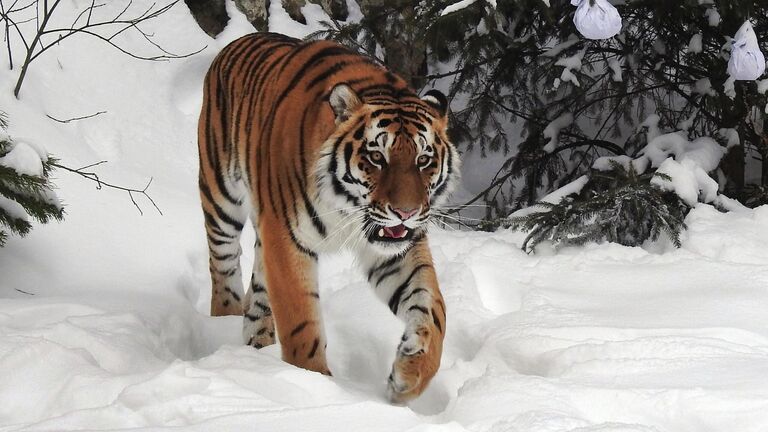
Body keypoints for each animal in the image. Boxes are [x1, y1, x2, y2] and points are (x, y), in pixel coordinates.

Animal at [200, 32, 462, 404]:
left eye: (423, 160)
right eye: (377, 157)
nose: (406, 212)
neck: (346, 208)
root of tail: (239, 40)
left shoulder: (398, 249)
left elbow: (433, 306)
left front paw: (410, 376)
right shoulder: (286, 238)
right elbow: (301, 323)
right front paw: (319, 389)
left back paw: (257, 343)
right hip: (221, 196)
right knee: (222, 265)